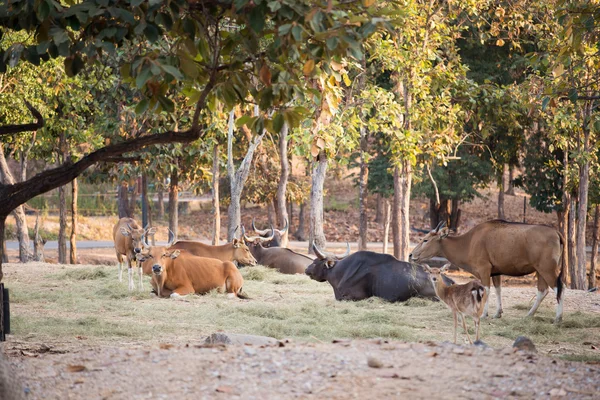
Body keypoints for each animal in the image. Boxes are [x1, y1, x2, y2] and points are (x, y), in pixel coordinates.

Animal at [410, 220, 564, 324]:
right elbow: (498, 290)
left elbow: (486, 290)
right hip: (540, 271)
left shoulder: (484, 269)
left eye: (425, 240)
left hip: (547, 269)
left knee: (558, 289)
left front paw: (484, 314)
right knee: (543, 291)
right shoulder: (495, 273)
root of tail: (556, 233)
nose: (411, 255)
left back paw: (558, 318)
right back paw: (529, 314)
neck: (469, 242)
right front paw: (498, 313)